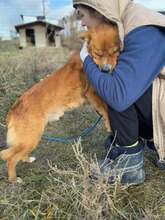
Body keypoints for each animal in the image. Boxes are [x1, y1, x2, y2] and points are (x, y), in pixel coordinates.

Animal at [0, 23, 120, 182]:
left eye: (114, 52)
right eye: (98, 54)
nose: (106, 70)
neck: (90, 58)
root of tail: (13, 109)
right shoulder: (92, 93)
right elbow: (105, 109)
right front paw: (108, 123)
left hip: (29, 140)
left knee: (15, 154)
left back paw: (26, 159)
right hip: (31, 138)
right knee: (10, 158)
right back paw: (13, 179)